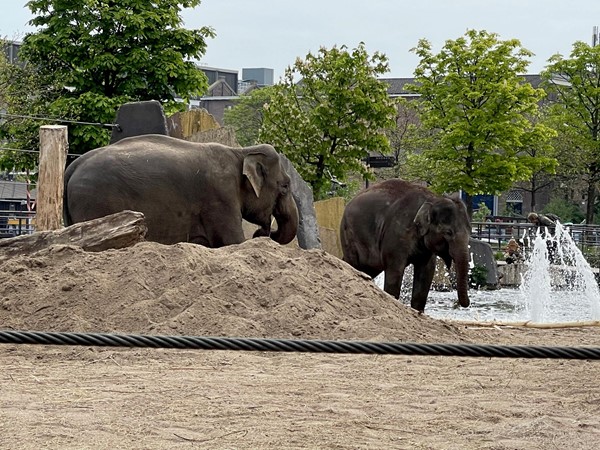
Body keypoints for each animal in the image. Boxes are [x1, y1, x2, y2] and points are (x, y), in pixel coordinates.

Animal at [64, 134, 298, 248]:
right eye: (285, 186)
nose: (260, 232)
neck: (240, 152)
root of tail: (73, 166)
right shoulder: (220, 197)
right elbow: (233, 242)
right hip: (96, 202)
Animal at [340, 178, 472, 312]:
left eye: (469, 232)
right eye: (448, 232)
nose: (465, 304)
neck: (433, 198)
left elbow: (426, 272)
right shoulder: (397, 234)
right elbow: (395, 270)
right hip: (348, 236)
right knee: (355, 265)